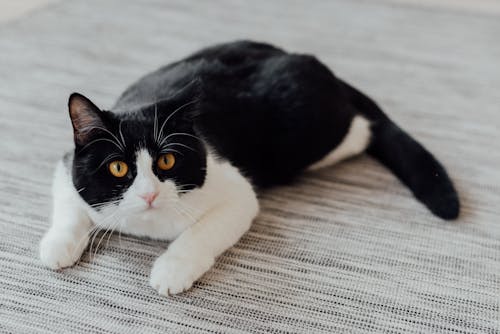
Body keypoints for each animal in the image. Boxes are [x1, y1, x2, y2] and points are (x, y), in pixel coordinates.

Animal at [40, 41, 460, 294]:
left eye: (167, 160)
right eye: (117, 168)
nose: (148, 195)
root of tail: (305, 58)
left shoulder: (235, 191)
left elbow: (202, 232)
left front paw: (173, 269)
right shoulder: (68, 166)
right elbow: (70, 207)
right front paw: (59, 245)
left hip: (312, 134)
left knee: (363, 129)